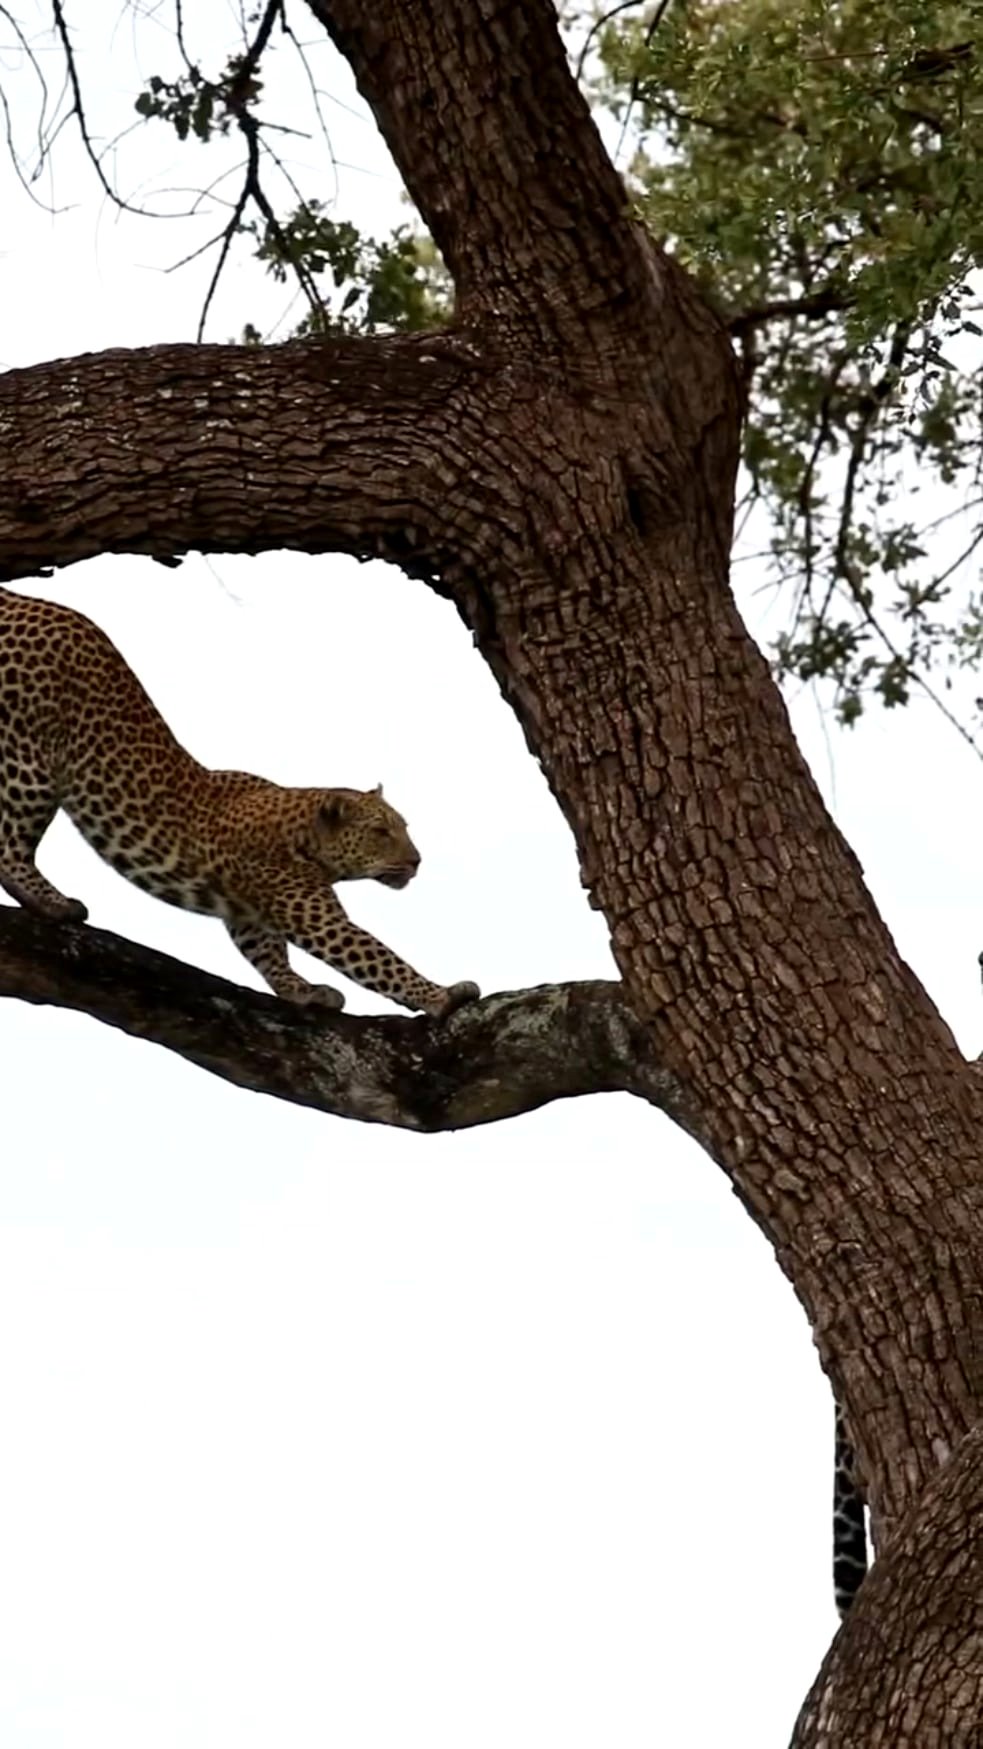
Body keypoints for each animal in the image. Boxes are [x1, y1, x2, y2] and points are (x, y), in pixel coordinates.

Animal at [0, 588, 480, 1019]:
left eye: (404, 828)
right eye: (381, 832)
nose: (417, 862)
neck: (304, 831)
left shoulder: (250, 911)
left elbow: (268, 952)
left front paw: (302, 990)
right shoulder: (310, 911)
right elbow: (375, 957)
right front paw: (442, 996)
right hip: (31, 759)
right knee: (10, 846)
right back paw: (51, 901)